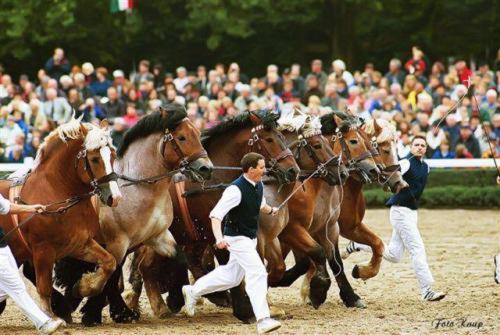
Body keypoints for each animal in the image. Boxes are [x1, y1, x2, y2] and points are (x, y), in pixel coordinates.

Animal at [0, 117, 122, 318]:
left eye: (113, 155)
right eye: (94, 159)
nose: (115, 197)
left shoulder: (81, 244)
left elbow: (109, 262)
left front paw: (82, 288)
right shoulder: (43, 251)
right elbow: (44, 288)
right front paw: (51, 317)